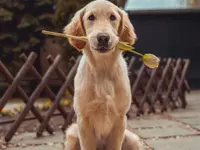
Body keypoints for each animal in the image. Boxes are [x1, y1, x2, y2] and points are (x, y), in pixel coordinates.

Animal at [64, 0, 141, 150]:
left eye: (112, 17)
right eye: (91, 17)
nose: (103, 38)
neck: (102, 68)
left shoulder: (120, 119)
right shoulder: (83, 120)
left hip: (133, 139)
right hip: (72, 134)